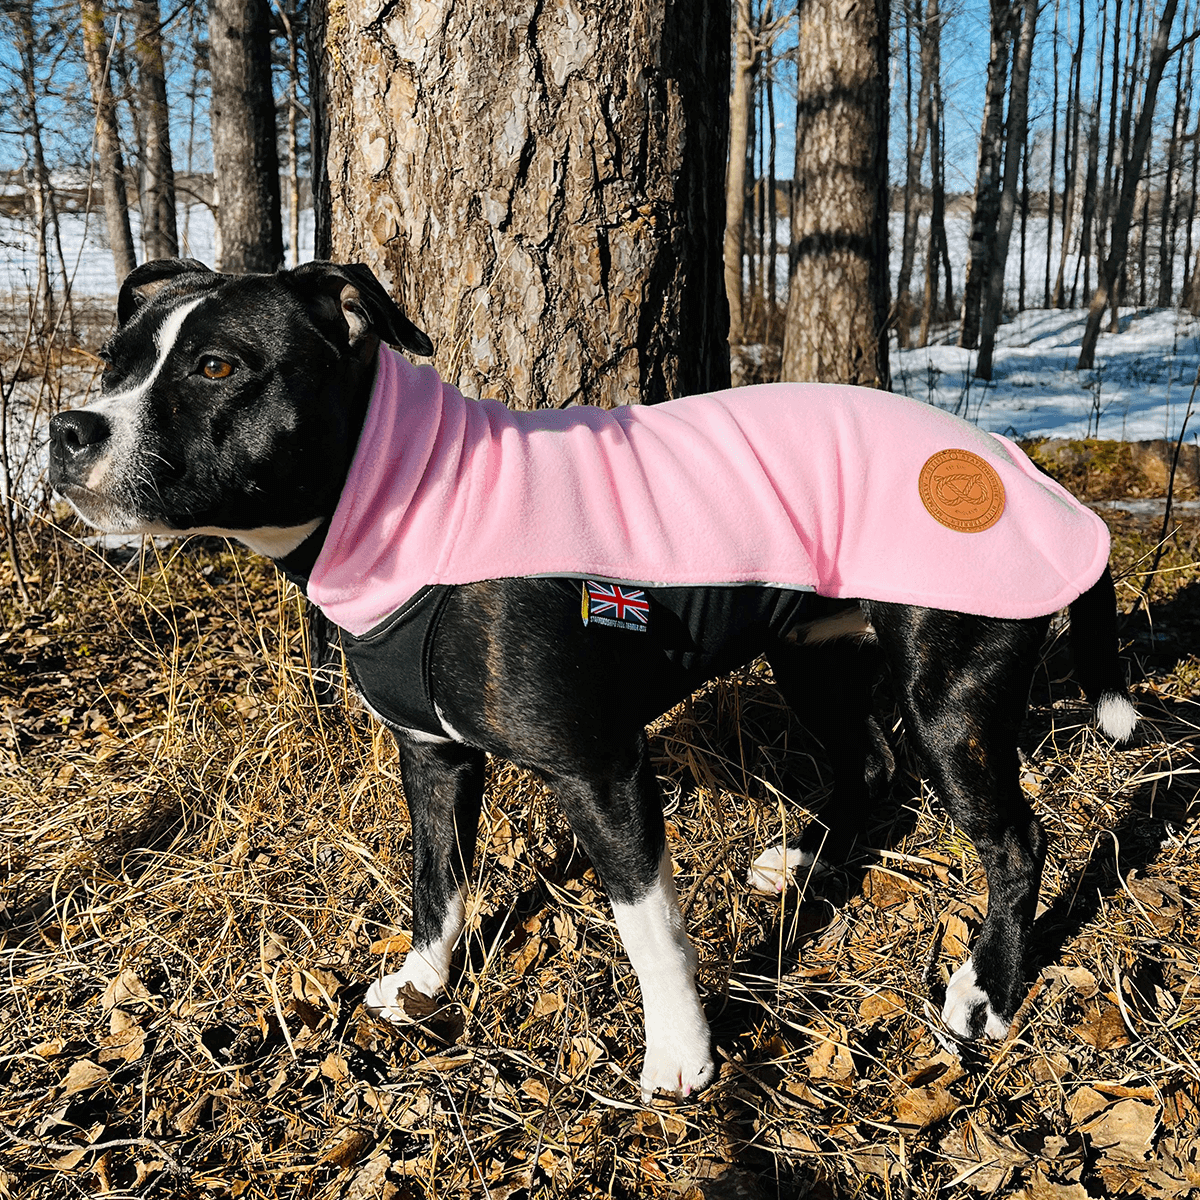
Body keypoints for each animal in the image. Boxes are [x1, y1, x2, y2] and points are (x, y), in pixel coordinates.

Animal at [46, 260, 1132, 1099]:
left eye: (216, 366)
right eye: (115, 363)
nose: (67, 428)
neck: (403, 493)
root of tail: (1024, 469)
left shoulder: (600, 770)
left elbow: (650, 928)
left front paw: (683, 1057)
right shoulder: (433, 759)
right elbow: (437, 882)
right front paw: (425, 983)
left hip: (950, 692)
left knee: (1014, 839)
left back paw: (984, 992)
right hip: (814, 648)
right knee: (869, 766)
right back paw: (803, 863)